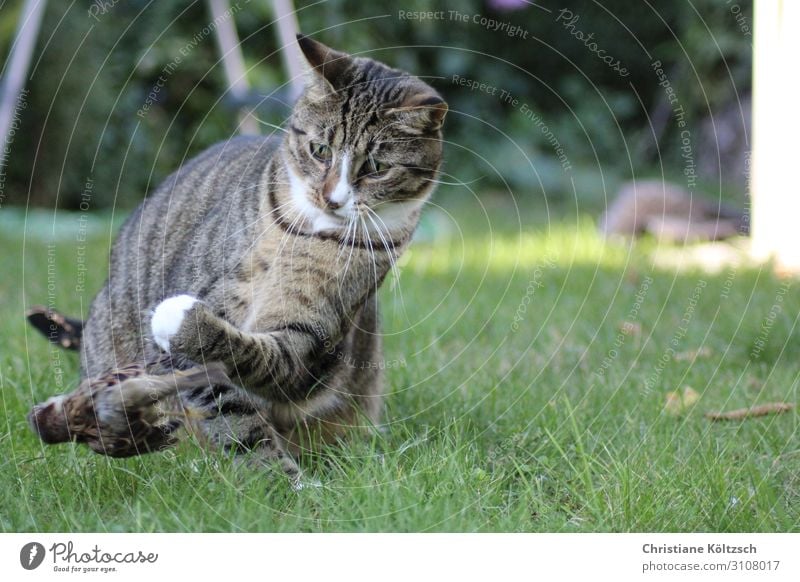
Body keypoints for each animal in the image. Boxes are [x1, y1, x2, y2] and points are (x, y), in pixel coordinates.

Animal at [28, 35, 446, 480]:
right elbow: (231, 411)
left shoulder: (312, 339)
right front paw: (280, 483)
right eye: (319, 150)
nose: (331, 199)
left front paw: (288, 486)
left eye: (376, 166)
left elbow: (265, 360)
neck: (310, 233)